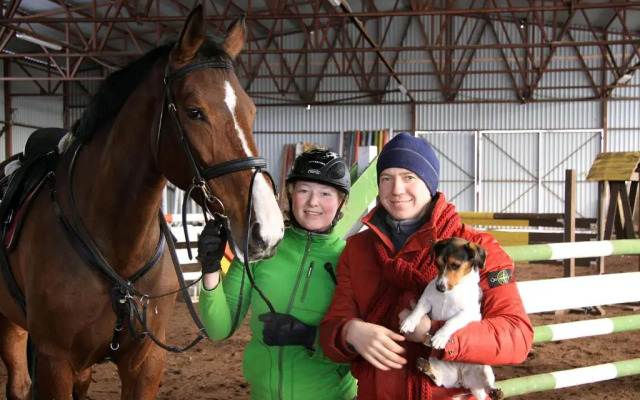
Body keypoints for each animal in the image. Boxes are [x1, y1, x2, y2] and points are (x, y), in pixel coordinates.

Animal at [0, 6, 284, 399]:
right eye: (194, 112)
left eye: (252, 111)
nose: (267, 230)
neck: (116, 247)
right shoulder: (55, 362)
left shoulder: (146, 364)